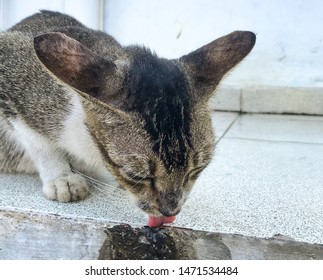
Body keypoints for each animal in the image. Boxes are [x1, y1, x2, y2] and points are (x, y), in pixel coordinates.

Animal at [0, 10, 256, 225]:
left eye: (197, 169)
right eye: (137, 175)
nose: (171, 210)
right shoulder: (10, 74)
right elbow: (37, 141)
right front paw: (61, 177)